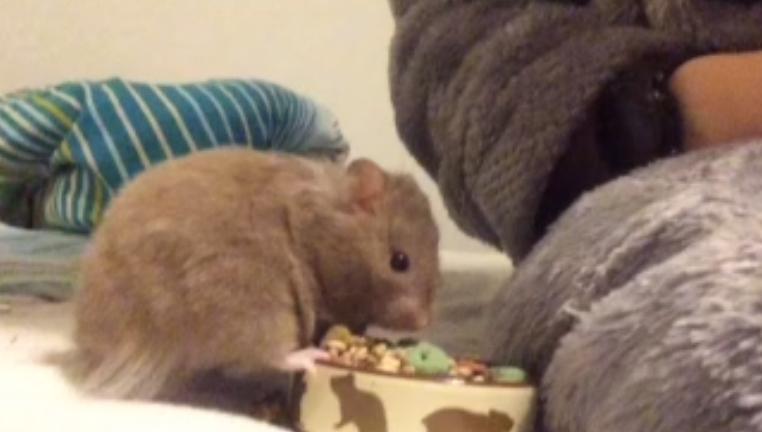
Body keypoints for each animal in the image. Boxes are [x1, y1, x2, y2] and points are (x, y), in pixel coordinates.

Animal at [73, 148, 440, 401]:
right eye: (399, 261)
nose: (423, 321)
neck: (319, 230)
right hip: (249, 294)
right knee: (267, 352)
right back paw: (310, 358)